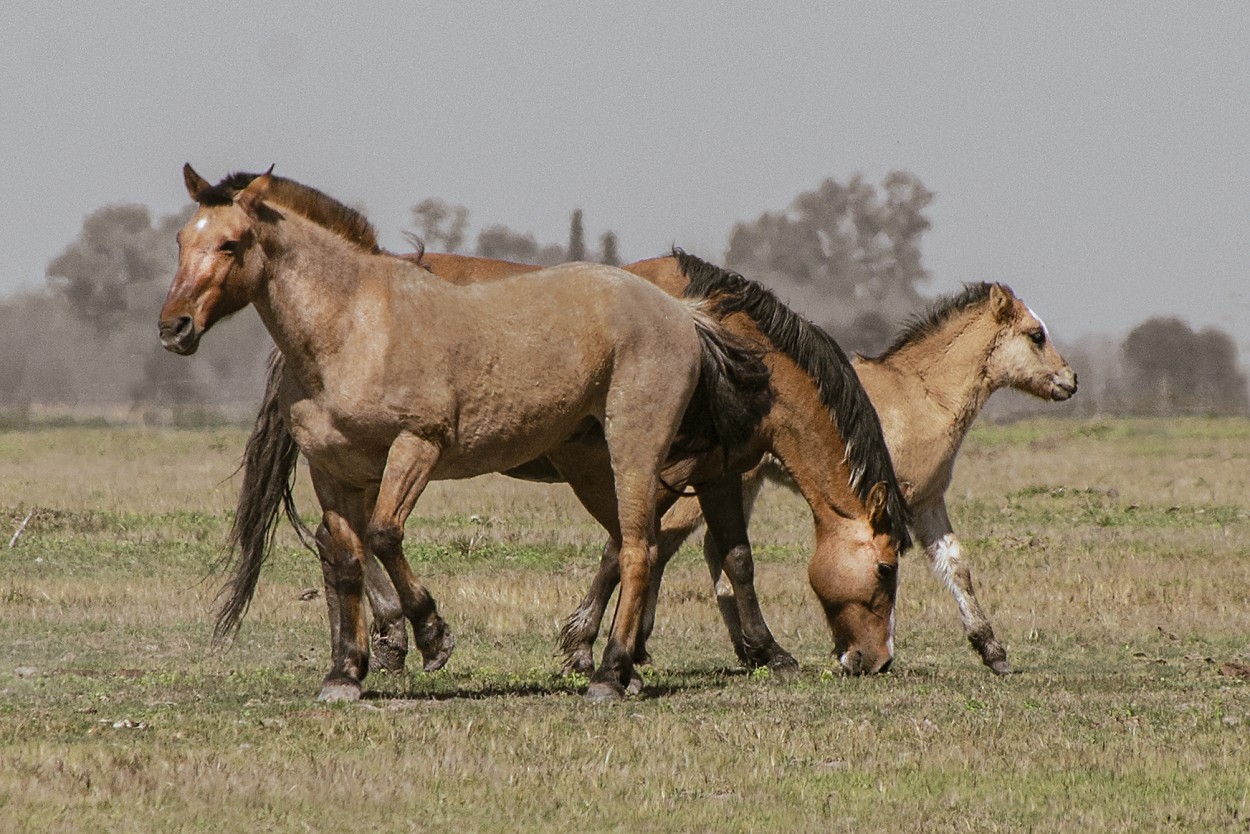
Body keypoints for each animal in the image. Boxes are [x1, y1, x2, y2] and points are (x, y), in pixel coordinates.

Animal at [153, 166, 770, 700]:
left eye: (231, 243)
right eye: (181, 240)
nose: (173, 328)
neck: (352, 327)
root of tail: (682, 312)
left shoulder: (417, 446)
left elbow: (384, 535)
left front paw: (432, 636)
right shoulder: (332, 470)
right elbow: (347, 560)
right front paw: (344, 674)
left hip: (634, 451)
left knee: (640, 549)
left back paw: (608, 676)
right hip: (593, 468)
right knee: (628, 544)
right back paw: (620, 668)